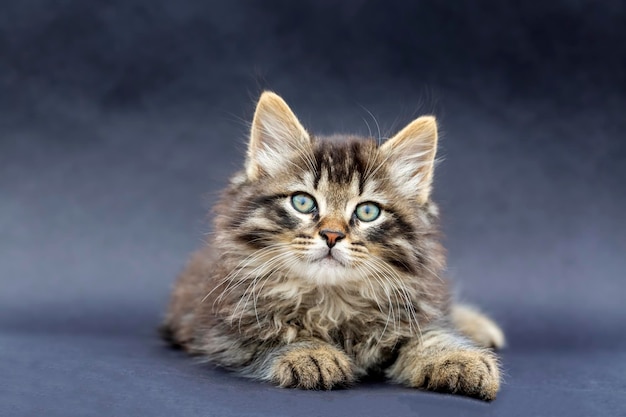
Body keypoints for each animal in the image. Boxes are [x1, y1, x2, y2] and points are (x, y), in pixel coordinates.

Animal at [161, 92, 502, 400]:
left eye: (368, 211)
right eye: (302, 202)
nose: (331, 235)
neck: (331, 300)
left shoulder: (414, 310)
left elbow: (431, 335)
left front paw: (460, 358)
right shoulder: (226, 332)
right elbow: (276, 335)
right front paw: (311, 354)